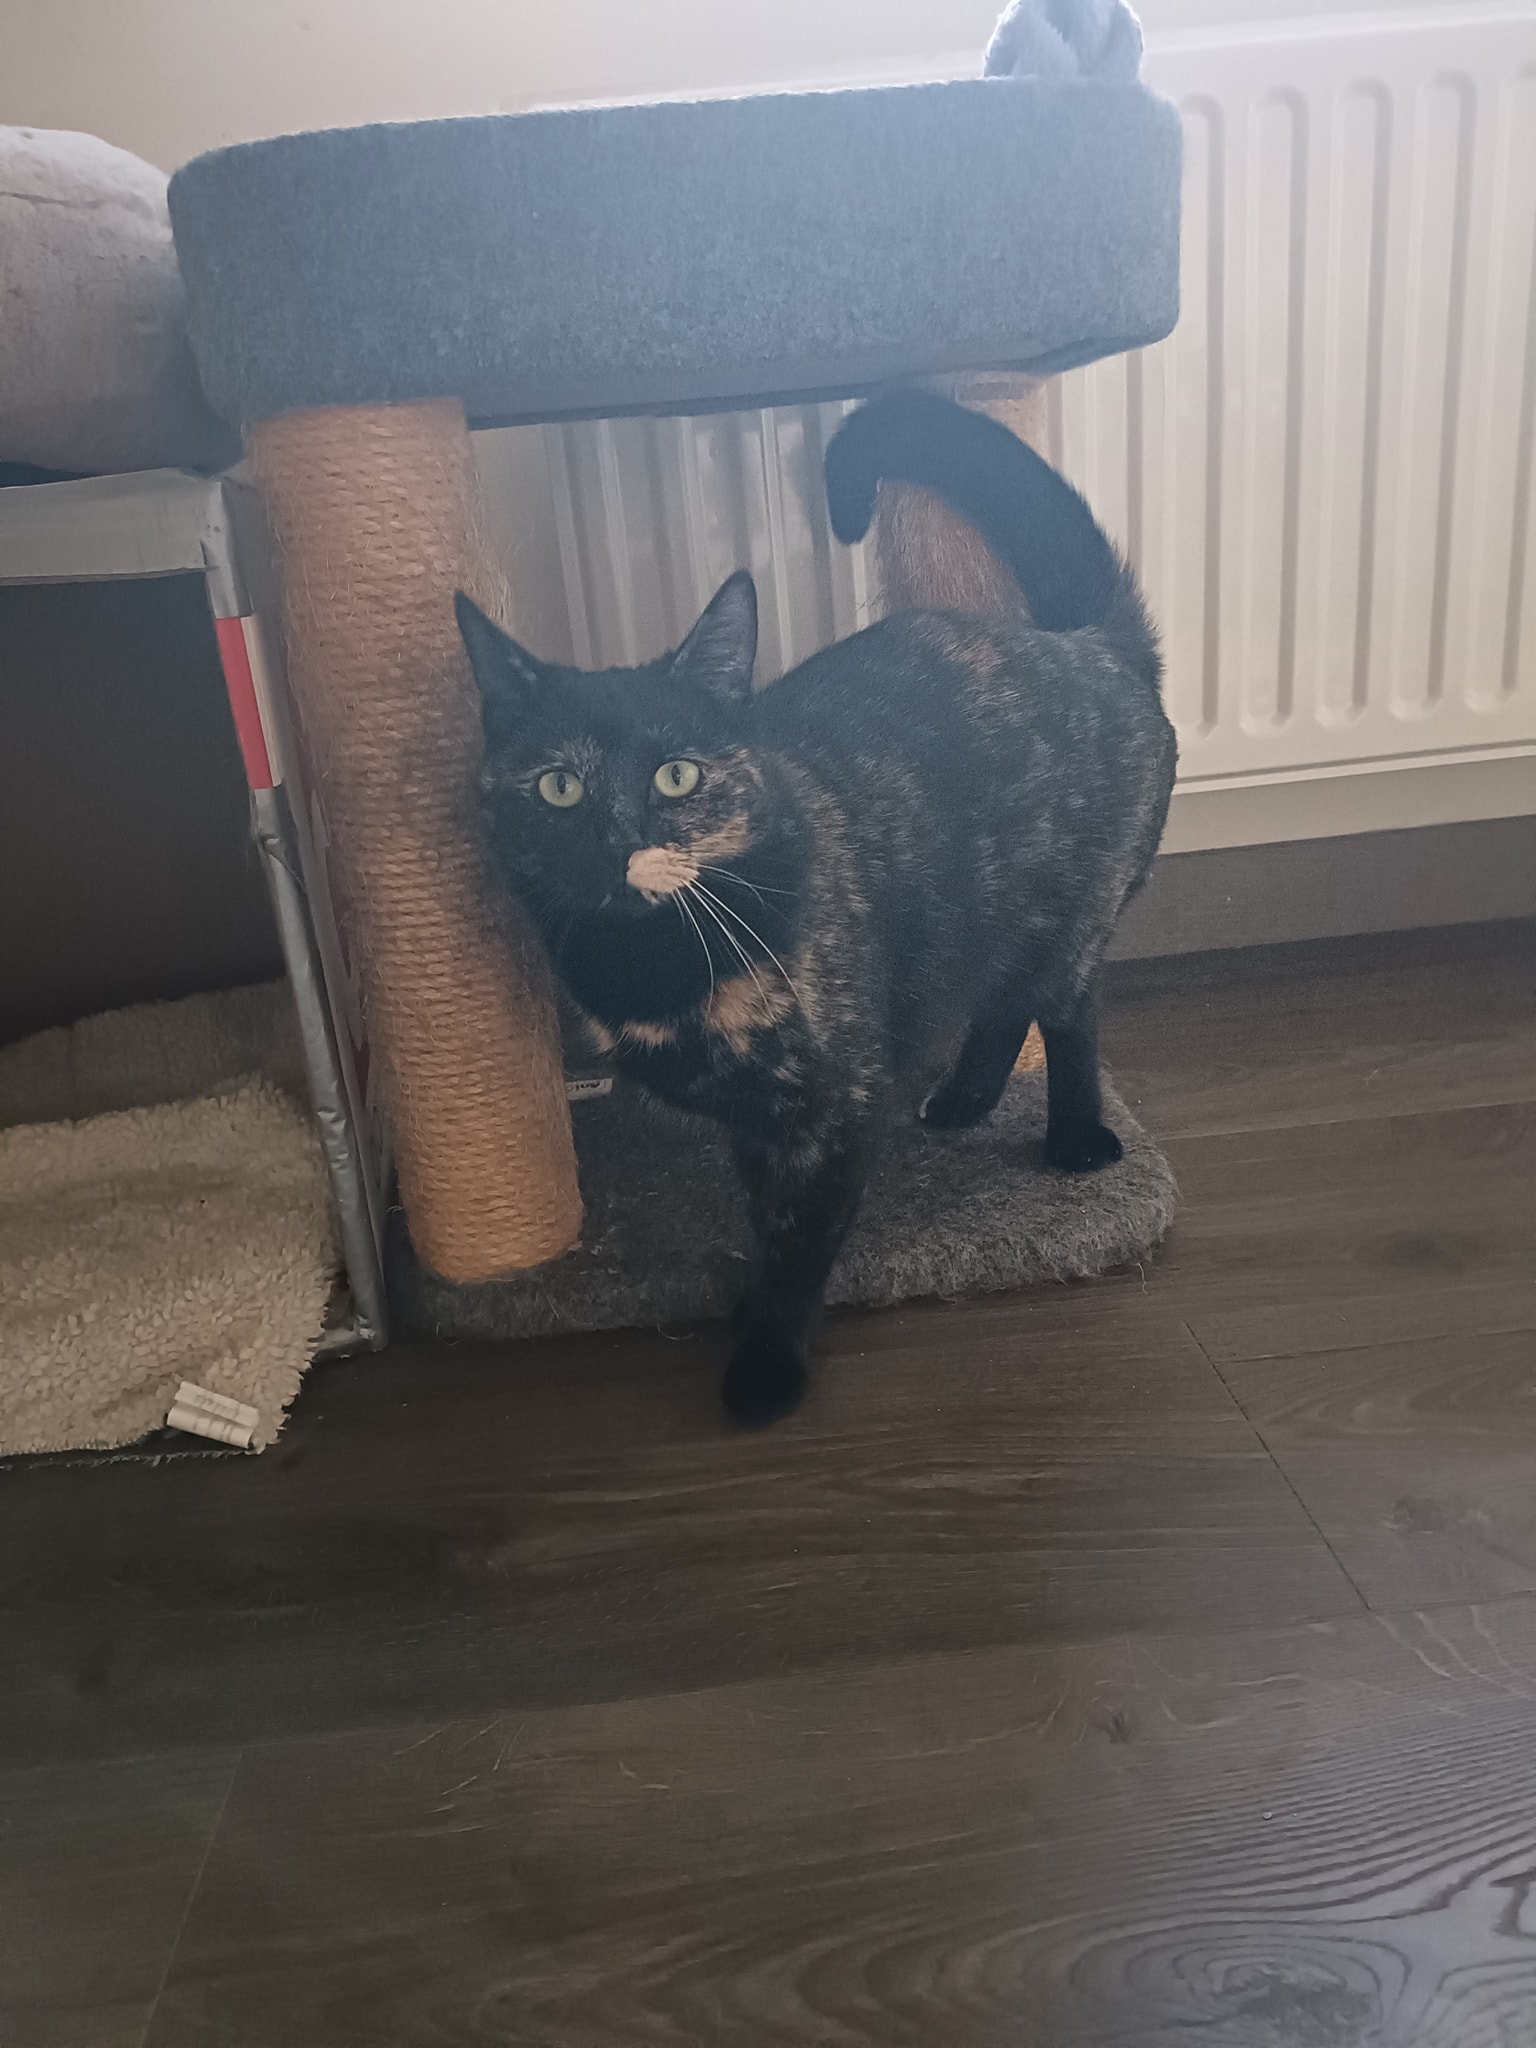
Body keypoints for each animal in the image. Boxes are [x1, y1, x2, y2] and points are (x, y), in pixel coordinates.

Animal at [457, 391, 1176, 1426]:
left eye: (677, 775)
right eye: (557, 787)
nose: (617, 837)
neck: (656, 968)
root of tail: (1093, 646)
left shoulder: (829, 1107)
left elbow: (802, 1237)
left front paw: (766, 1363)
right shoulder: (754, 1121)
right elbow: (767, 1221)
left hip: (1070, 916)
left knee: (1066, 1009)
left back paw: (1075, 1138)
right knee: (1001, 1001)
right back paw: (963, 1100)